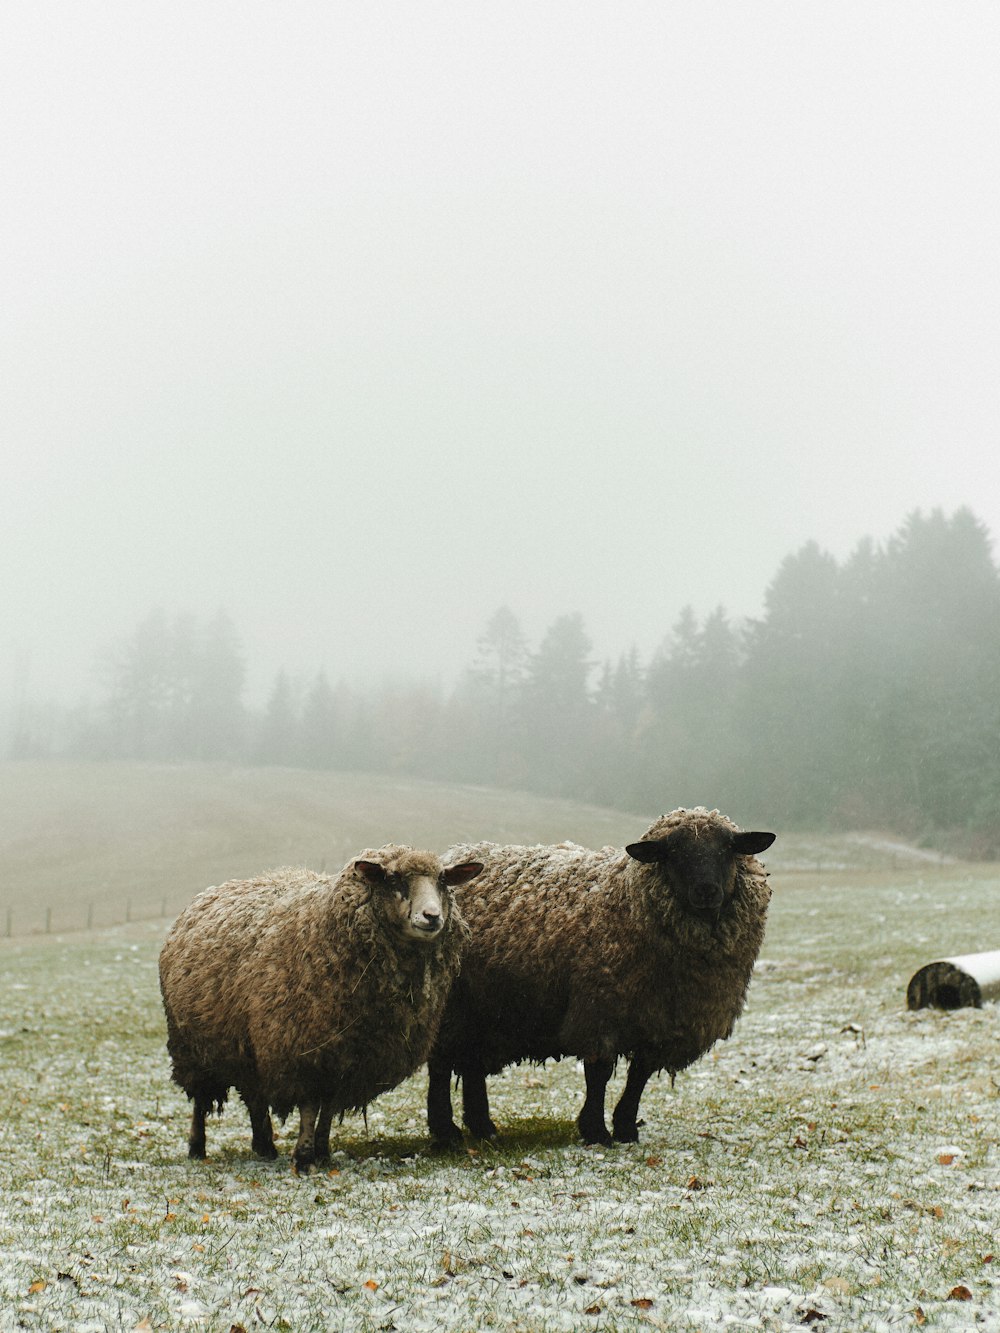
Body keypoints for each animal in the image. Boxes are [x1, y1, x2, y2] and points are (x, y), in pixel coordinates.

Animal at [429, 805, 773, 1151]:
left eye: (728, 848)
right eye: (673, 852)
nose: (706, 891)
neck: (626, 898)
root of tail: (455, 854)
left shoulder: (658, 1021)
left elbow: (639, 1075)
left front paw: (626, 1128)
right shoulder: (600, 1009)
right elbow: (599, 1073)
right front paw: (595, 1130)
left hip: (483, 1010)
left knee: (471, 1063)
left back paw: (483, 1126)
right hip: (452, 1005)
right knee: (441, 1064)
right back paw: (446, 1132)